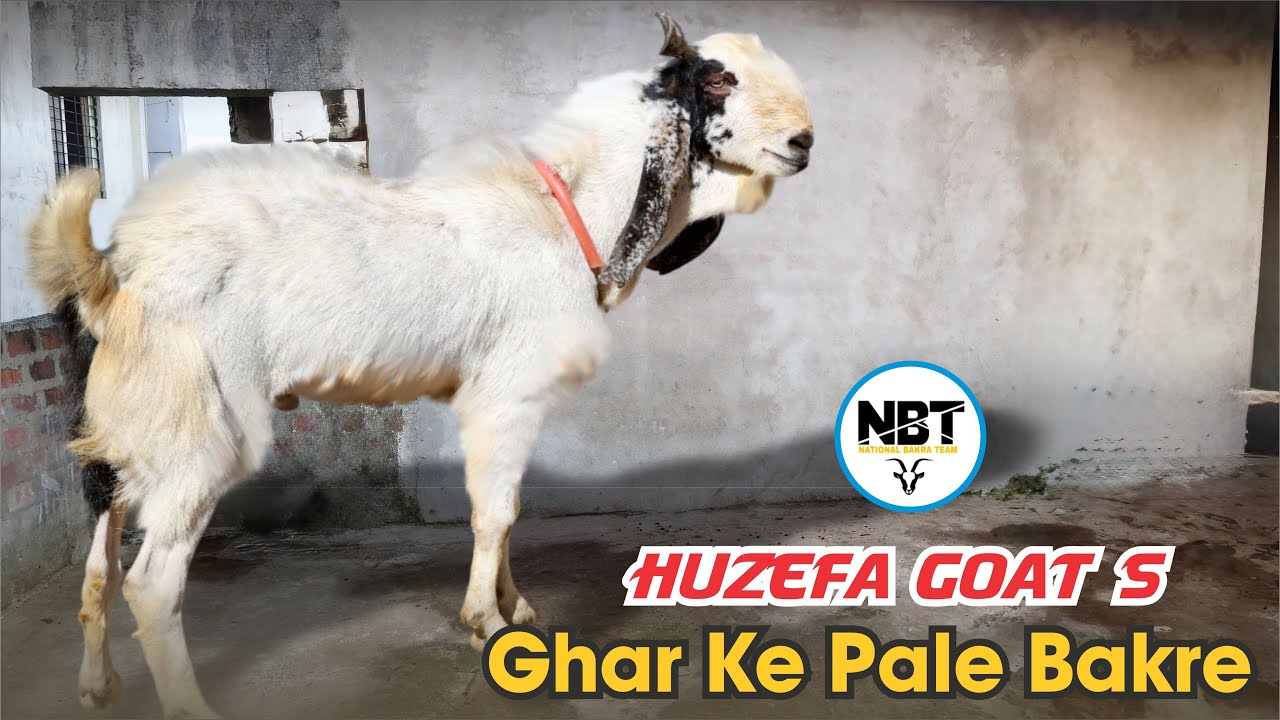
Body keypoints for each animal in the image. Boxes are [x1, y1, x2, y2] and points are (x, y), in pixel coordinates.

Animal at [26, 14, 812, 718]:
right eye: (717, 78)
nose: (802, 142)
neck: (564, 212)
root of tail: (111, 272)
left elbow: (504, 508)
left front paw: (514, 606)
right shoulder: (508, 394)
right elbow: (497, 512)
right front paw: (486, 623)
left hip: (127, 430)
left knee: (100, 563)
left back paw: (98, 687)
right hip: (200, 431)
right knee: (152, 583)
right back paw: (191, 706)